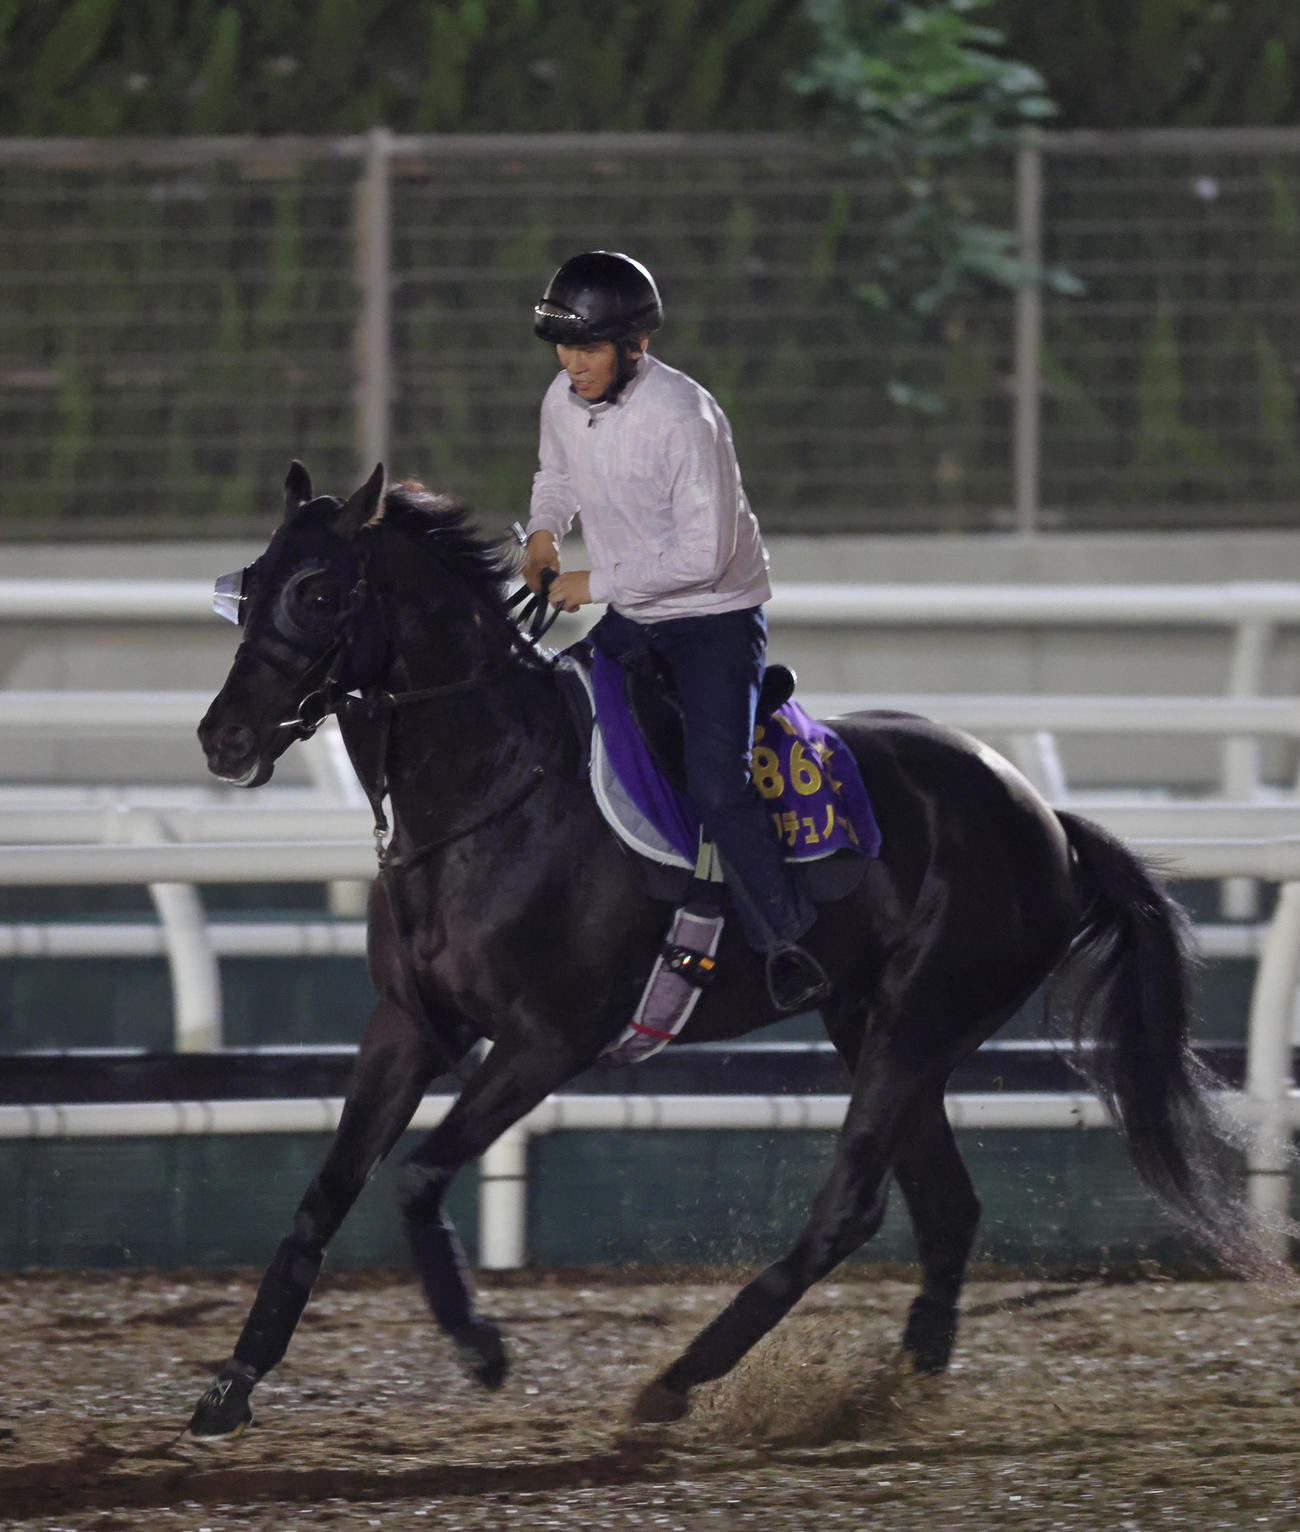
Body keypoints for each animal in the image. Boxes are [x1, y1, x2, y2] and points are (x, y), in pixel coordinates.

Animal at [189, 461, 1283, 1441]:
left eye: (318, 590)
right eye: (247, 583)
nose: (221, 737)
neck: (494, 794)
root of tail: (1048, 820)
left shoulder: (551, 1039)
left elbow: (417, 1176)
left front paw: (480, 1343)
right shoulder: (409, 1026)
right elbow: (325, 1190)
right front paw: (233, 1381)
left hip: (915, 1024)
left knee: (850, 1207)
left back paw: (683, 1376)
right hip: (876, 1025)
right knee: (946, 1208)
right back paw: (897, 1385)